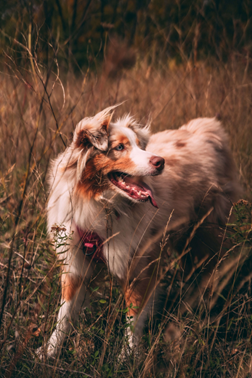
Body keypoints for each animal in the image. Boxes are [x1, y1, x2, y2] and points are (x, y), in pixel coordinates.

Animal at [36, 105, 239, 358]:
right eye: (119, 147)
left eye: (140, 146)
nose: (160, 162)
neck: (102, 205)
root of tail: (203, 130)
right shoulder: (75, 263)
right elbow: (64, 314)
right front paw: (50, 350)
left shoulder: (139, 264)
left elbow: (133, 315)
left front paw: (127, 356)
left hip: (207, 234)